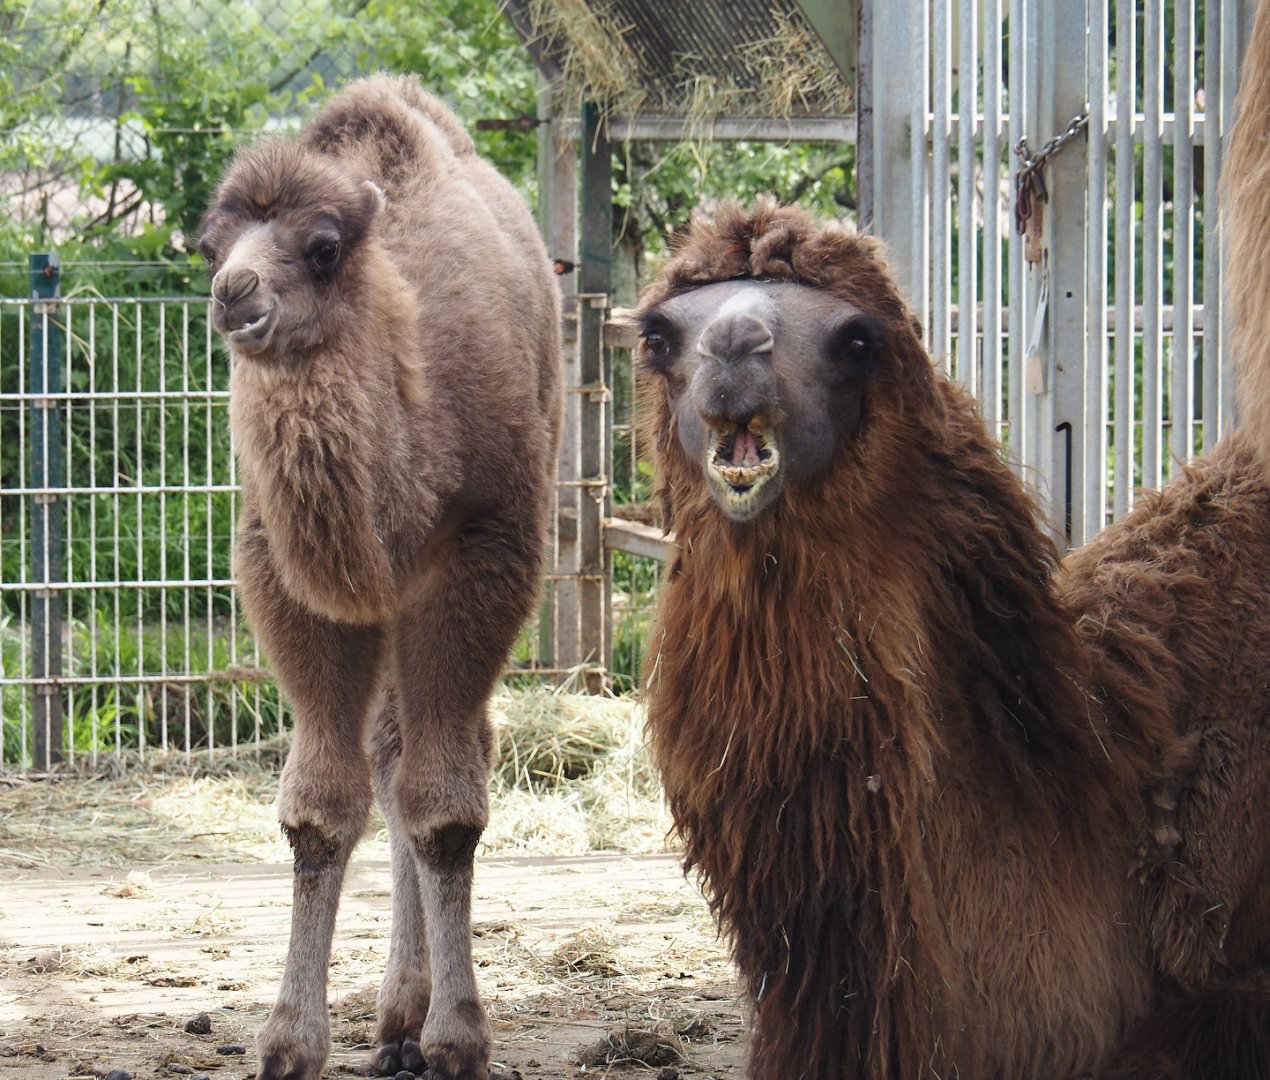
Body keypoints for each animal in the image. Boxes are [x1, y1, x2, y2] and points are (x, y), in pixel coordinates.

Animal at [198, 74, 562, 1080]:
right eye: (209, 244)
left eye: (323, 248)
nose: (233, 292)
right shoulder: (290, 578)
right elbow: (321, 809)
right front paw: (289, 1041)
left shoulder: (485, 553)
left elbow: (445, 810)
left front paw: (462, 1037)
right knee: (393, 756)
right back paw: (396, 1016)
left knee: (436, 759)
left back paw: (416, 1018)